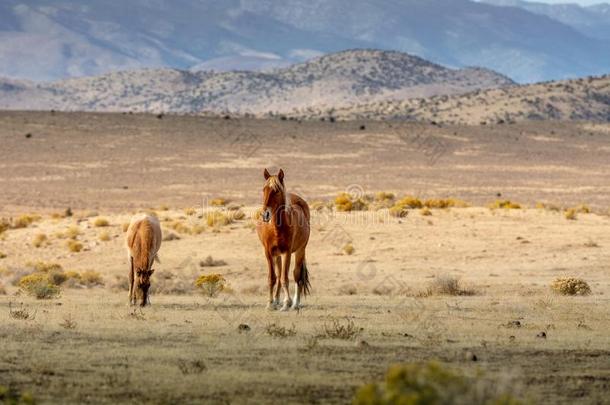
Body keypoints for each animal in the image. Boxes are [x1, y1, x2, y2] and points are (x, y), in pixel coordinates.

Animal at [254, 167, 308, 310]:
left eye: (276, 190)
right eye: (264, 189)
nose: (265, 214)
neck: (276, 229)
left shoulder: (287, 252)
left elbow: (285, 278)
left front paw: (287, 303)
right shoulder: (268, 253)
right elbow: (272, 278)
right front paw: (270, 303)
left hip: (300, 250)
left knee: (297, 275)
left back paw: (295, 303)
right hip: (276, 255)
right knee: (278, 276)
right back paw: (277, 300)